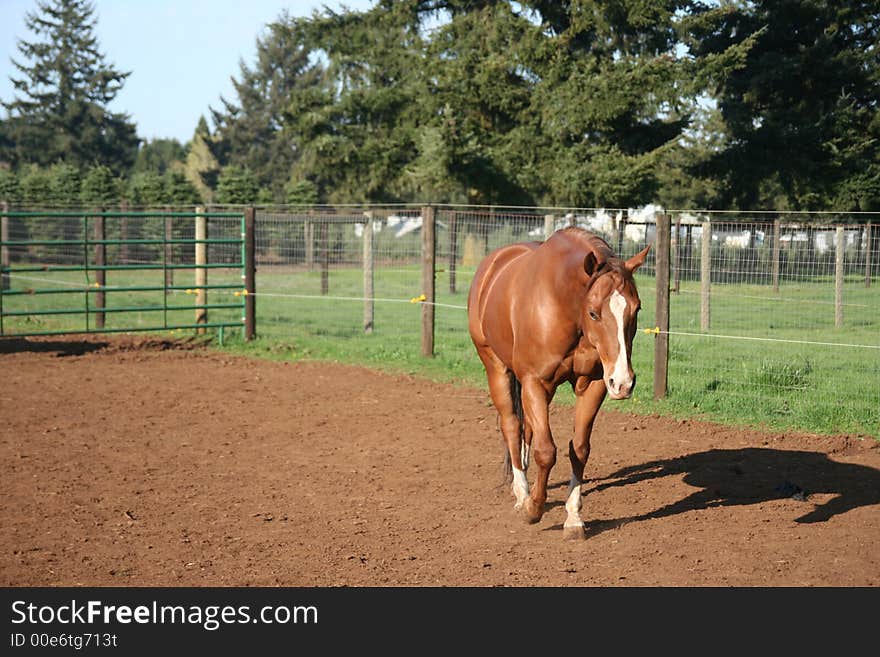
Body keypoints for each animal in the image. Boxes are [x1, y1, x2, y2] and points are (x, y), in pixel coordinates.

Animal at [468, 226, 648, 540]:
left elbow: (579, 449)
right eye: (594, 312)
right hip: (496, 367)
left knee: (527, 428)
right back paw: (521, 493)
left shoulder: (594, 384)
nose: (624, 382)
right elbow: (546, 451)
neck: (565, 307)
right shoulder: (535, 382)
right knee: (512, 426)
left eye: (636, 310)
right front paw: (533, 508)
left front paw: (574, 517)